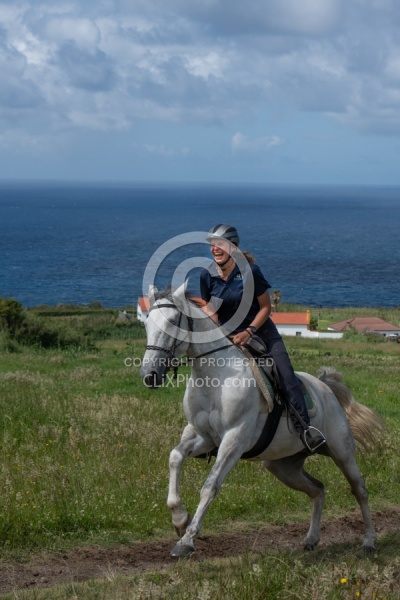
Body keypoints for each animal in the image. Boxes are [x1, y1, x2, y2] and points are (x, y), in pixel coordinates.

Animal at [140, 282, 382, 556]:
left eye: (172, 322)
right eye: (147, 323)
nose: (149, 375)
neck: (215, 378)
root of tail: (326, 388)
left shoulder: (233, 440)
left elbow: (209, 487)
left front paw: (186, 540)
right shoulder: (203, 436)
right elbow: (175, 457)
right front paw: (179, 518)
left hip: (341, 451)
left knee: (359, 489)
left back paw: (369, 541)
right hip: (282, 465)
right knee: (317, 490)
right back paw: (311, 539)